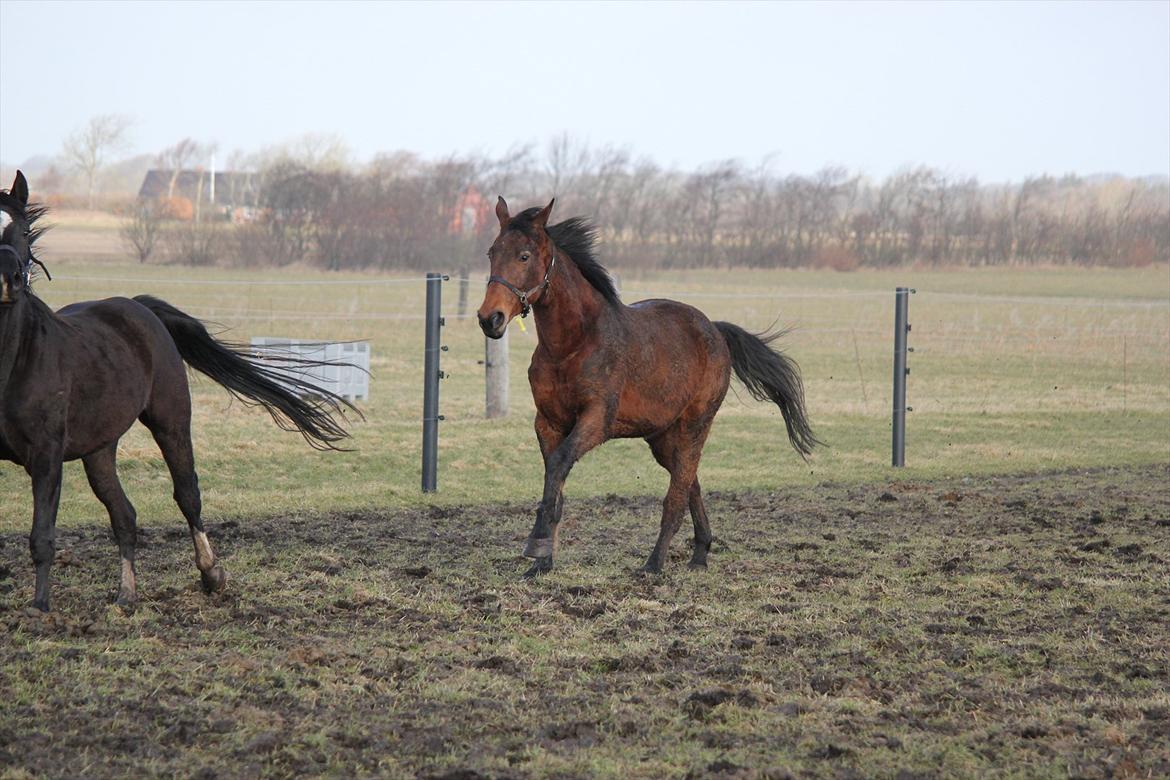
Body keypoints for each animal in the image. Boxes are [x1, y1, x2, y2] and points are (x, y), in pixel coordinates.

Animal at [1, 171, 355, 608]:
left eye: (23, 230)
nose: (8, 281)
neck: (13, 360)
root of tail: (138, 307)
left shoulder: (46, 455)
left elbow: (42, 537)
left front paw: (39, 608)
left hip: (170, 422)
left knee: (187, 494)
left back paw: (211, 574)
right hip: (99, 448)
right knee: (124, 514)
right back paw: (126, 594)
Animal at [475, 198, 823, 577]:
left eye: (524, 256)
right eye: (491, 253)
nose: (489, 319)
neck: (571, 345)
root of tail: (714, 329)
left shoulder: (596, 420)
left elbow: (559, 464)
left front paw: (536, 544)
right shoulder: (548, 423)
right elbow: (556, 477)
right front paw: (542, 561)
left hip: (694, 426)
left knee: (678, 492)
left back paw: (654, 564)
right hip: (662, 438)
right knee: (689, 481)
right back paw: (700, 553)